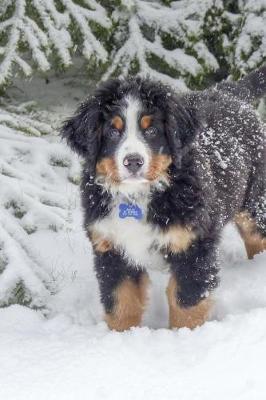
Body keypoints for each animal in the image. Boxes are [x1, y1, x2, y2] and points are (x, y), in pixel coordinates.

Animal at [61, 68, 266, 332]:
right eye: (113, 131)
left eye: (151, 130)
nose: (133, 161)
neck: (138, 196)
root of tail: (227, 91)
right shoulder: (111, 248)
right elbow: (120, 304)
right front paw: (120, 337)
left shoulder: (193, 247)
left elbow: (186, 305)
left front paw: (183, 336)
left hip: (255, 204)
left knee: (256, 238)